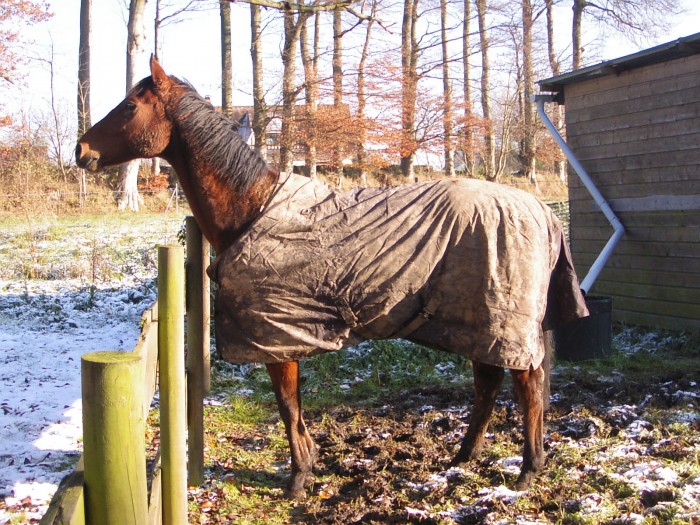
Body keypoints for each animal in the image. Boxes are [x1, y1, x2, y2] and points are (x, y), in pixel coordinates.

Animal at [76, 56, 588, 500]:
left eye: (129, 106)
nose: (81, 150)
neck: (252, 208)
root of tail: (541, 211)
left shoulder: (275, 340)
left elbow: (287, 405)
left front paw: (298, 477)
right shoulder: (284, 336)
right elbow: (294, 406)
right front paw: (309, 463)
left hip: (504, 324)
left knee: (526, 386)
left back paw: (527, 470)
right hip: (475, 322)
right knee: (488, 383)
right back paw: (462, 458)